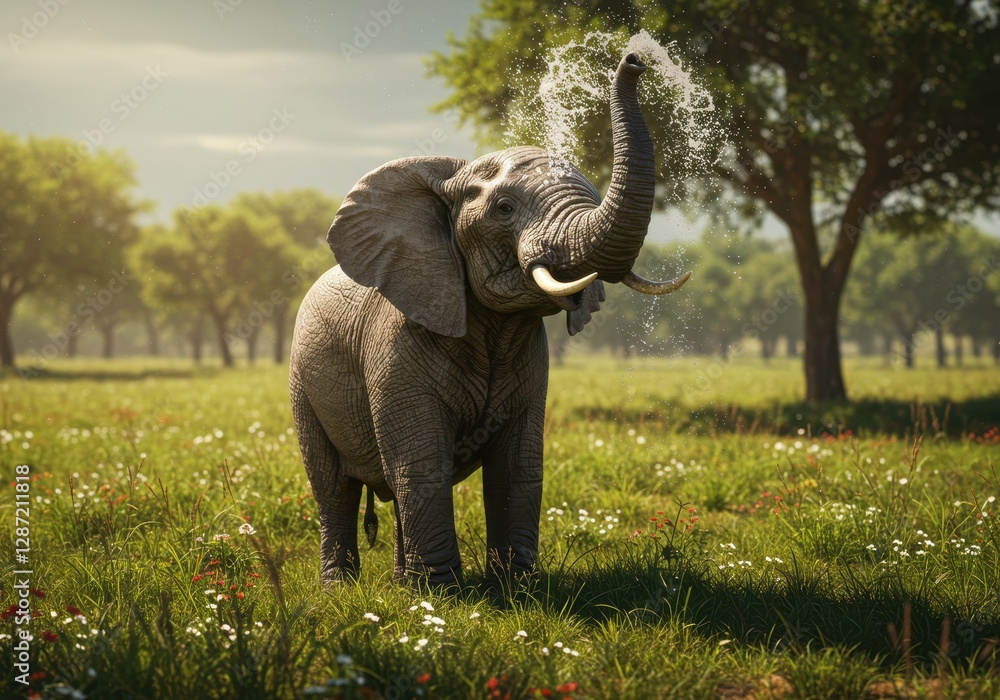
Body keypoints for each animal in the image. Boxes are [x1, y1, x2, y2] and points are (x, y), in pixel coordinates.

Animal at [289, 53, 689, 587]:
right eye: (503, 208)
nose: (636, 59)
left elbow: (517, 468)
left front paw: (515, 588)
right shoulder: (394, 343)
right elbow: (422, 465)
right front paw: (444, 593)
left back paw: (400, 582)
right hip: (302, 381)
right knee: (334, 485)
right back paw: (342, 588)